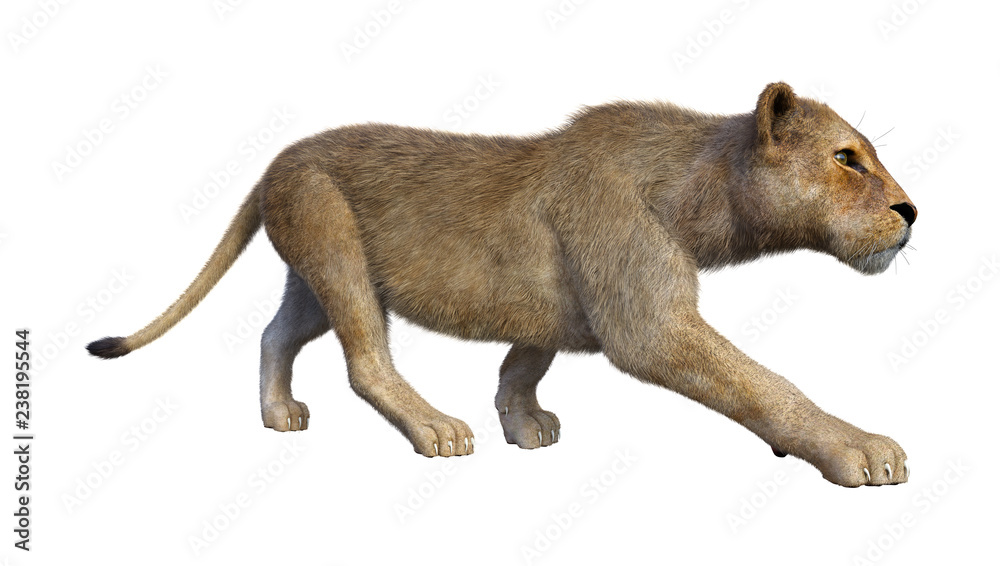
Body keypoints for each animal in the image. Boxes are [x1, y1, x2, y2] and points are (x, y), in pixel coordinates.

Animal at [87, 82, 917, 487]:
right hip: (335, 250)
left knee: (273, 332)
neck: (705, 189)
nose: (912, 211)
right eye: (847, 158)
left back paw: (279, 415)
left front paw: (525, 424)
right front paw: (860, 449)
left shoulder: (558, 312)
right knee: (365, 361)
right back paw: (435, 430)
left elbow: (523, 363)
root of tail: (274, 161)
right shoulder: (651, 326)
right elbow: (765, 384)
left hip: (316, 276)